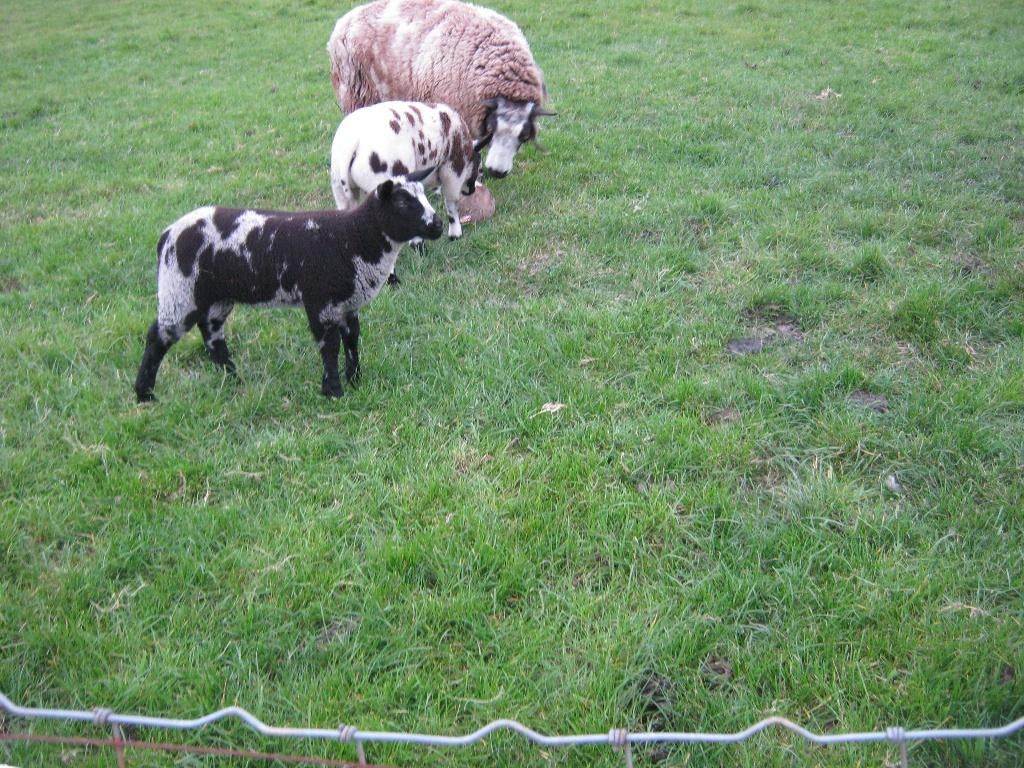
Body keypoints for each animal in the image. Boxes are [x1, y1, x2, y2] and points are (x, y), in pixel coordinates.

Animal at [134, 170, 442, 402]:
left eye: (424, 196)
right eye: (402, 204)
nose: (438, 225)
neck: (354, 237)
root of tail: (167, 235)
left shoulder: (347, 303)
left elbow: (352, 339)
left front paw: (355, 380)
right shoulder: (320, 301)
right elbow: (329, 345)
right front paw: (334, 391)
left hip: (216, 296)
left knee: (212, 336)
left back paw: (234, 379)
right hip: (180, 290)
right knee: (158, 337)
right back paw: (145, 394)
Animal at [330, 101, 493, 243]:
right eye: (479, 168)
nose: (472, 190)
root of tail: (352, 143)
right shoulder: (452, 172)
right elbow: (451, 205)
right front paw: (455, 234)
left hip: (340, 191)